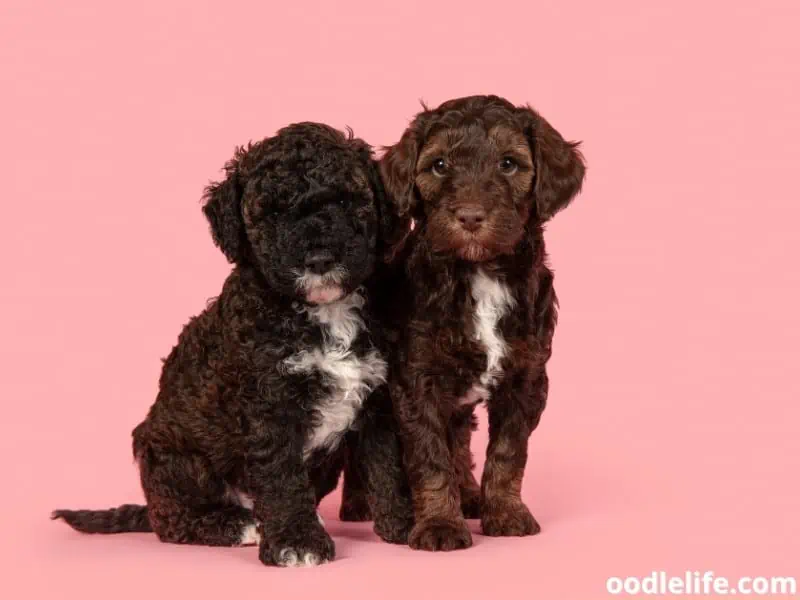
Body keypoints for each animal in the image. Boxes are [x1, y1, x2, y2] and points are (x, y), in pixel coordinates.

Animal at [51, 123, 412, 568]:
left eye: (346, 200)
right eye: (272, 213)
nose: (319, 259)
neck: (323, 310)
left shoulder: (376, 396)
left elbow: (386, 464)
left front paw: (405, 525)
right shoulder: (269, 405)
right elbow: (281, 478)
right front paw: (297, 541)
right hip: (176, 462)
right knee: (174, 522)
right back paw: (241, 524)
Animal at [360, 96, 584, 552]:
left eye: (509, 164)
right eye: (439, 165)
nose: (469, 216)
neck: (480, 273)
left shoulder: (527, 376)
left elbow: (508, 452)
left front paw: (506, 512)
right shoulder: (417, 378)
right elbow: (430, 456)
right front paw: (439, 525)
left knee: (460, 439)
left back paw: (468, 495)